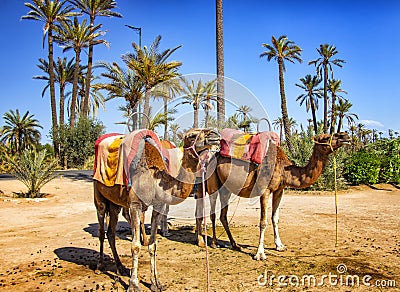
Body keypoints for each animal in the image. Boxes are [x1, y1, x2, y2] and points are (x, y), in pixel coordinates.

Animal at [93, 129, 219, 290]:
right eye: (191, 136)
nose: (215, 134)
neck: (154, 178)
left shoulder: (158, 205)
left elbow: (153, 245)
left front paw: (156, 283)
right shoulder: (135, 204)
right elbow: (135, 246)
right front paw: (134, 285)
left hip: (115, 203)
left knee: (111, 232)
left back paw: (120, 267)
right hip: (99, 195)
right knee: (101, 229)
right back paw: (100, 266)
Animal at [195, 132, 350, 260]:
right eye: (325, 137)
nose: (345, 136)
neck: (283, 169)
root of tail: (210, 158)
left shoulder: (279, 190)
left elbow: (275, 218)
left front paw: (280, 246)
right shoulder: (265, 190)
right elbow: (263, 222)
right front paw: (260, 254)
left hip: (226, 188)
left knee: (223, 215)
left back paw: (234, 244)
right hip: (213, 184)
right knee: (213, 213)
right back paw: (214, 243)